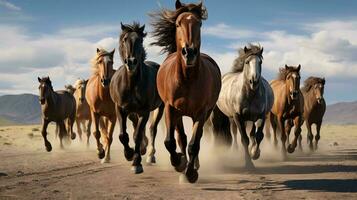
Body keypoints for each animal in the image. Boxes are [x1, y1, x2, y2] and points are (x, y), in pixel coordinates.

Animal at [109, 22, 163, 174]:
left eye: (140, 40)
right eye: (124, 39)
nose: (131, 61)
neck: (132, 83)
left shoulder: (144, 111)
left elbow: (137, 135)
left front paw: (136, 162)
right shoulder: (120, 109)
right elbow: (123, 135)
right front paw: (128, 154)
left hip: (159, 109)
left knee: (152, 129)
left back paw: (149, 154)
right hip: (132, 112)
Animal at [149, 0, 221, 182]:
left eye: (199, 23)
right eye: (177, 23)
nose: (189, 52)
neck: (187, 80)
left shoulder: (201, 113)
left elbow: (194, 144)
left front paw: (191, 173)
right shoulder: (170, 108)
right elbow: (170, 141)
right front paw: (179, 163)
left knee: (195, 139)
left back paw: (194, 165)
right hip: (178, 114)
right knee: (181, 138)